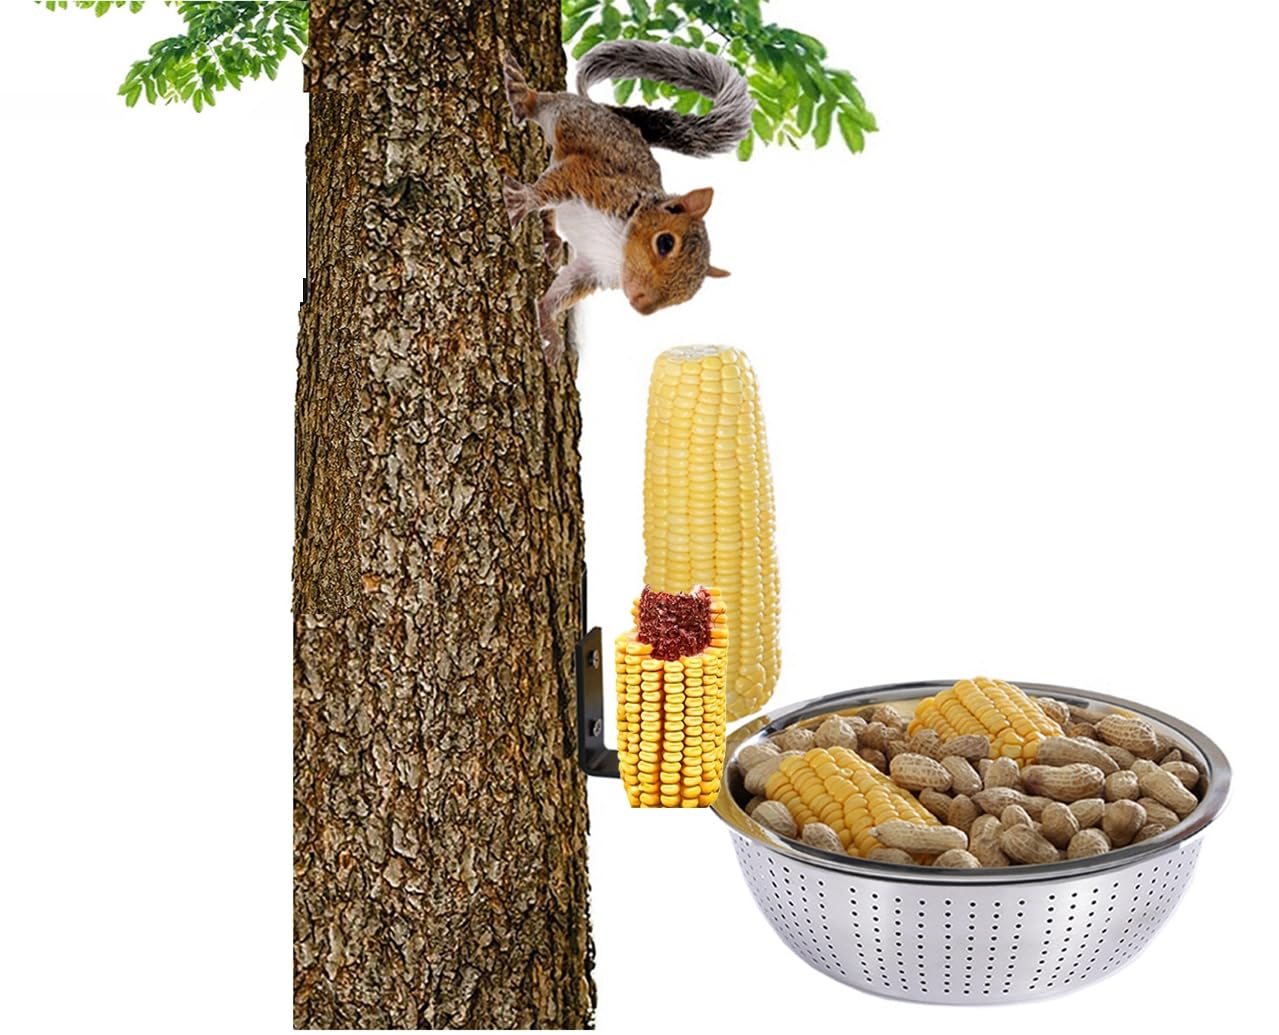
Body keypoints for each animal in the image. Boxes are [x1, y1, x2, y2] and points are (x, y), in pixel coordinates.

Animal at [502, 39, 753, 363]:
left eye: (686, 295)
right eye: (665, 243)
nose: (640, 306)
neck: (616, 248)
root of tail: (614, 114)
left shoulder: (592, 268)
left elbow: (564, 291)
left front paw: (548, 326)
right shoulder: (589, 179)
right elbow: (547, 190)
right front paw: (521, 200)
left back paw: (552, 240)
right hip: (569, 116)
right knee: (545, 103)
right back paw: (521, 94)